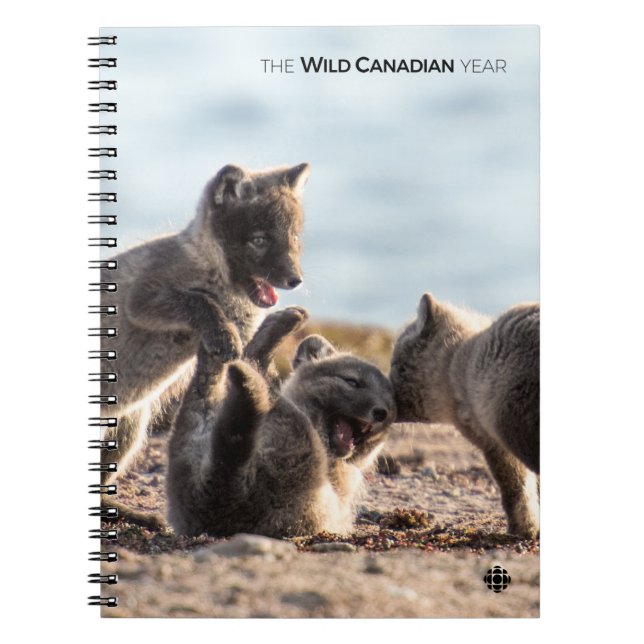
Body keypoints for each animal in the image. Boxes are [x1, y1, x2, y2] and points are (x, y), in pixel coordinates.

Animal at [99, 163, 310, 527]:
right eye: (259, 239)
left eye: (294, 237)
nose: (294, 280)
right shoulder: (142, 299)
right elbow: (198, 300)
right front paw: (221, 331)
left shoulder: (244, 337)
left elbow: (252, 349)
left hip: (127, 430)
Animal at [389, 292, 539, 539]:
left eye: (396, 366)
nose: (385, 399)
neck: (460, 359)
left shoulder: (492, 443)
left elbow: (516, 490)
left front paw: (523, 528)